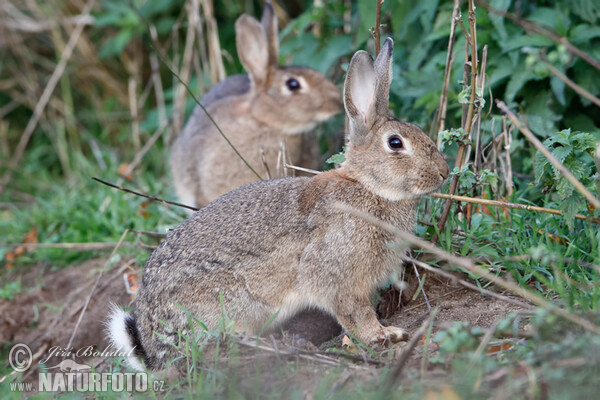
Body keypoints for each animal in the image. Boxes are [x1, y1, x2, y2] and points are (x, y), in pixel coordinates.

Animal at [108, 39, 448, 370]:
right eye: (395, 143)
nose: (443, 173)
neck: (368, 187)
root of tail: (151, 346)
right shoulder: (338, 275)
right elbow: (354, 313)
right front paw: (384, 335)